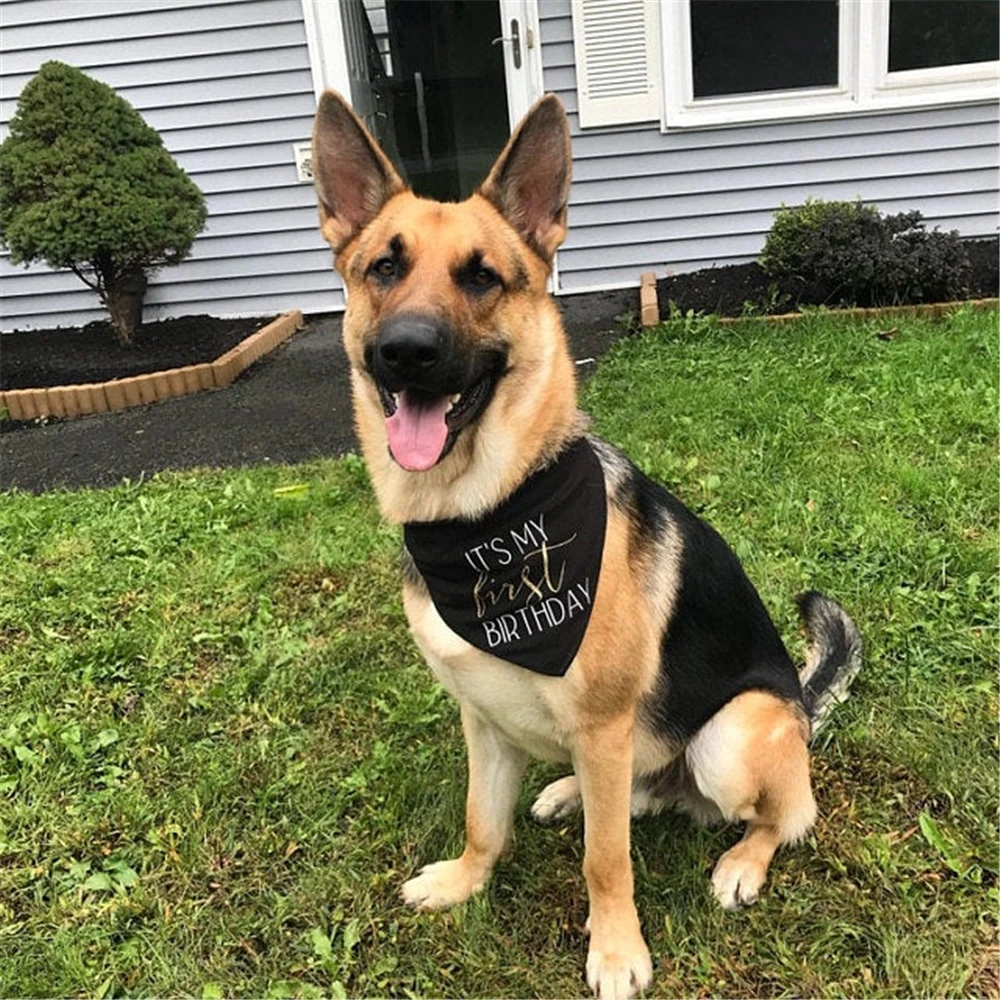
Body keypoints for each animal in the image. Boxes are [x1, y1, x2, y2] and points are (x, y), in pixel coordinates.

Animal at [310, 90, 860, 996]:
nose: (407, 351)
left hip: (729, 736)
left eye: (481, 277)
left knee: (785, 817)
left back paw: (741, 863)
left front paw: (616, 950)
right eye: (383, 268)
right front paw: (465, 881)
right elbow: (484, 821)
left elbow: (608, 862)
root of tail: (801, 710)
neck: (483, 519)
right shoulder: (482, 719)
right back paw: (570, 792)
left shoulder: (603, 726)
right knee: (641, 797)